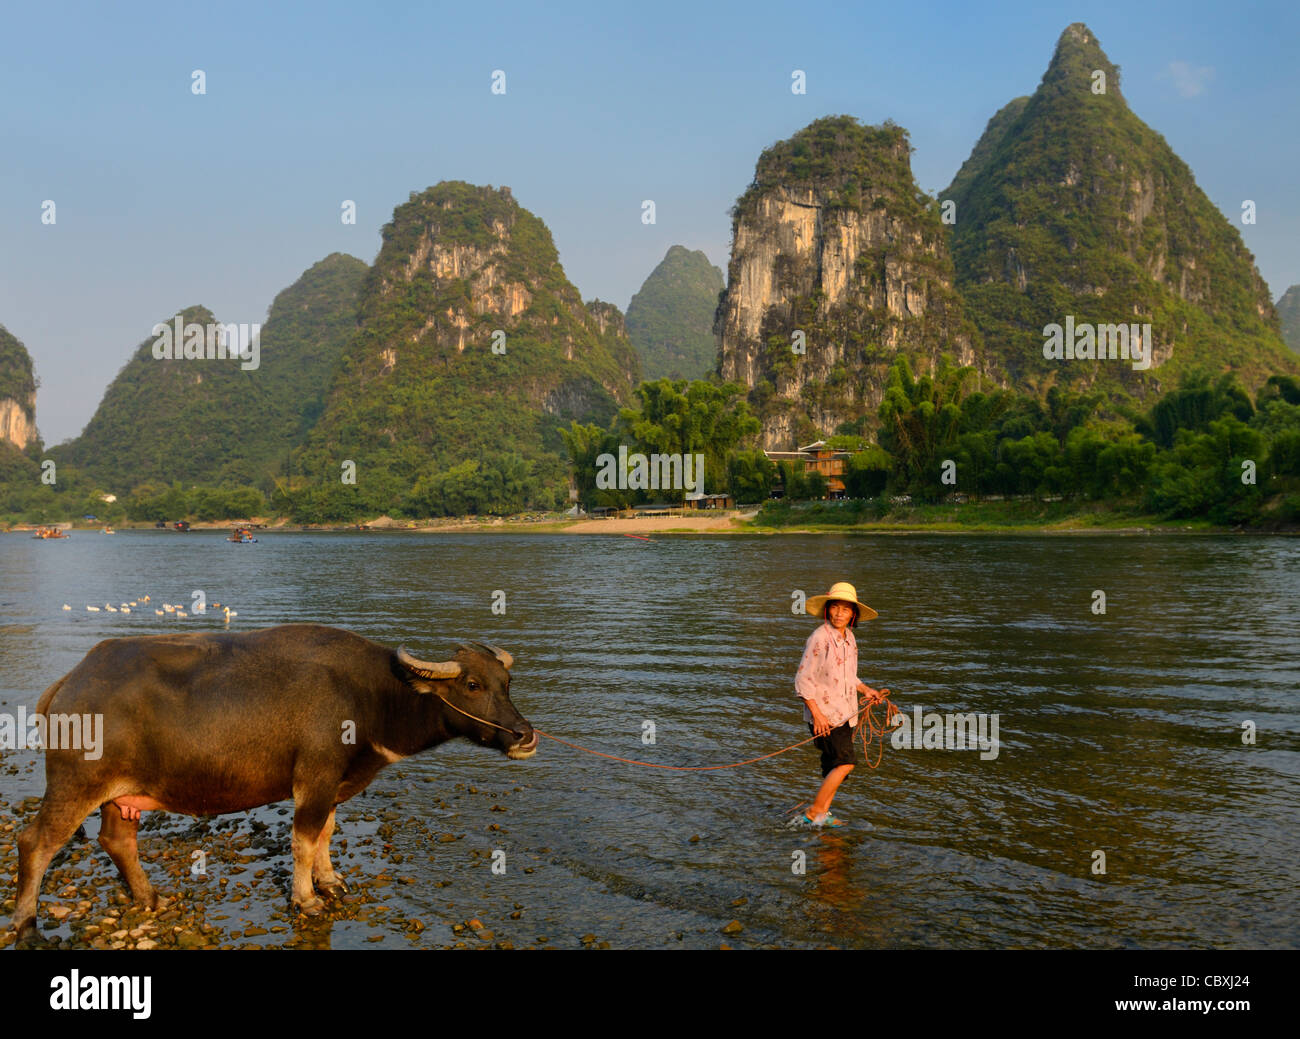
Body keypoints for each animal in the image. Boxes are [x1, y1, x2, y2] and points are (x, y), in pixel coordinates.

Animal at [15, 626, 533, 941]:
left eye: (506, 683)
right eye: (471, 686)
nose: (524, 735)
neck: (371, 696)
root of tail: (69, 683)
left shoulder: (334, 783)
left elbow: (326, 833)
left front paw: (331, 881)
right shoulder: (314, 778)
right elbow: (303, 839)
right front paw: (306, 899)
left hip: (118, 795)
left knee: (117, 840)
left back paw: (149, 897)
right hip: (74, 784)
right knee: (35, 842)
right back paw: (25, 923)